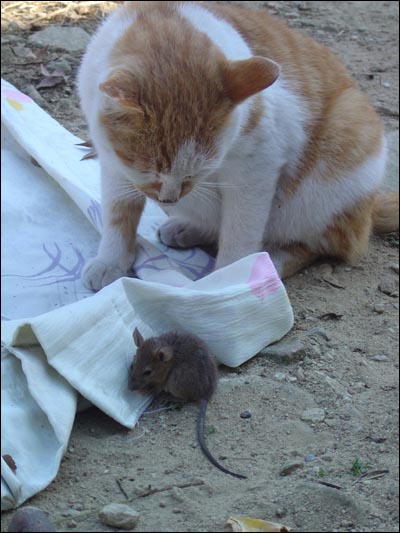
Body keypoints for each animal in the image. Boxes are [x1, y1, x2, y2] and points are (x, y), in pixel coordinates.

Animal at [76, 0, 398, 290]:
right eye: (149, 171)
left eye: (197, 172)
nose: (169, 199)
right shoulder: (114, 161)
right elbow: (118, 213)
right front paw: (111, 260)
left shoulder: (257, 166)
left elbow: (240, 232)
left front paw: (230, 280)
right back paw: (188, 227)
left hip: (331, 168)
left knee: (316, 245)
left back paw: (269, 264)